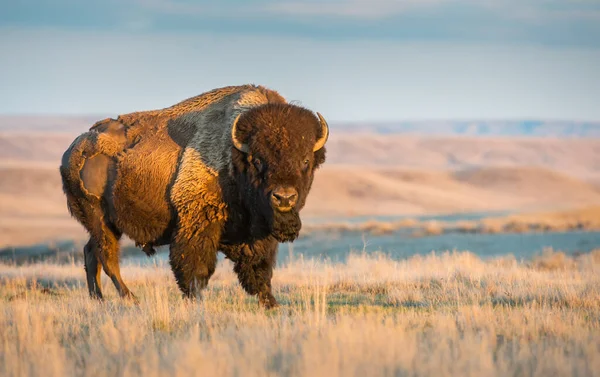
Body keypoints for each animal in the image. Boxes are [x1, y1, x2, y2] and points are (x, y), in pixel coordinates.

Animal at [61, 83, 328, 306]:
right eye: (258, 160)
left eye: (305, 161)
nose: (284, 197)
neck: (234, 156)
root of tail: (72, 149)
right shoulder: (197, 223)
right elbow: (195, 267)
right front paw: (196, 300)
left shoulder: (257, 234)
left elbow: (259, 268)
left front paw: (271, 303)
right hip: (99, 218)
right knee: (107, 257)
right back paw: (130, 298)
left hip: (106, 223)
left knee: (91, 253)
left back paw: (98, 298)